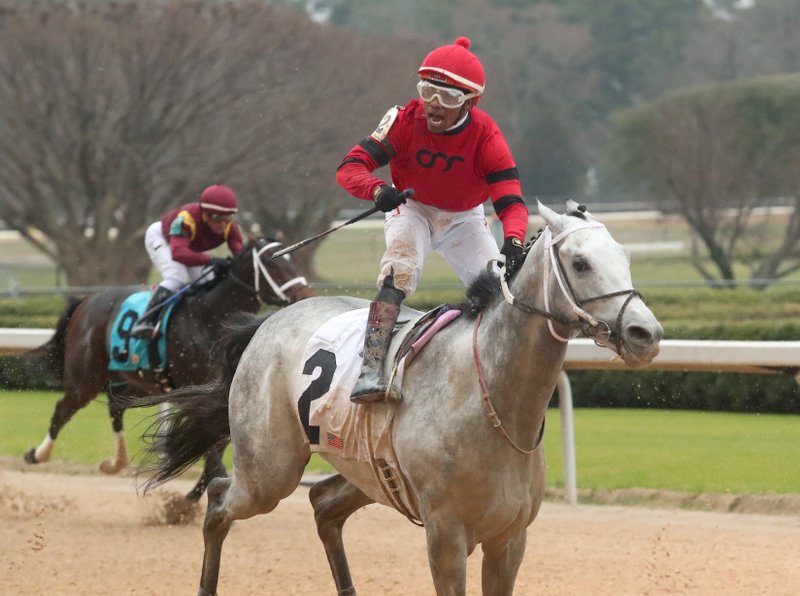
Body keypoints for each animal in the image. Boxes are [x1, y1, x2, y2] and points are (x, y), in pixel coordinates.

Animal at [21, 235, 310, 500]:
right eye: (273, 263)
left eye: (293, 259)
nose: (304, 295)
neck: (210, 316)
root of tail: (87, 300)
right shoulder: (193, 392)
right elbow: (209, 450)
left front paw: (191, 499)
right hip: (87, 377)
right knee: (63, 408)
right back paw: (37, 454)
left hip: (140, 383)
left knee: (115, 405)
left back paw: (115, 463)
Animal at [139, 201, 664, 596]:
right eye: (581, 262)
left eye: (624, 256)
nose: (647, 333)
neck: (493, 399)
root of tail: (266, 323)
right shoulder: (446, 537)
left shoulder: (509, 539)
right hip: (269, 470)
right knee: (220, 501)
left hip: (369, 470)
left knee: (323, 504)